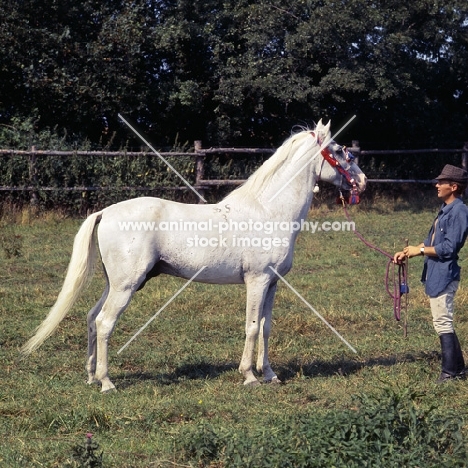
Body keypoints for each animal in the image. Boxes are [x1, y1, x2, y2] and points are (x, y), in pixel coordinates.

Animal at [22, 120, 366, 392]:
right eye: (338, 151)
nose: (362, 181)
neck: (269, 212)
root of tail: (105, 212)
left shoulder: (272, 283)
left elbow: (267, 327)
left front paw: (269, 374)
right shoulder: (256, 281)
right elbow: (252, 326)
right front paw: (249, 376)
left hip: (116, 284)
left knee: (92, 318)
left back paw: (92, 376)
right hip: (126, 286)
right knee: (105, 322)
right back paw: (107, 382)